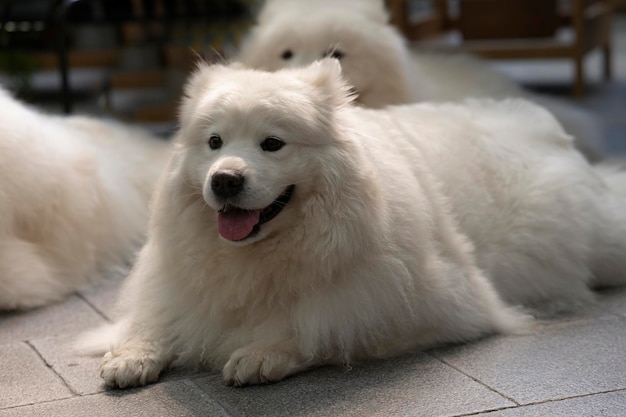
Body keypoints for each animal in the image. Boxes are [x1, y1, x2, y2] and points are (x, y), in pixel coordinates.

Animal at [84, 60, 626, 388]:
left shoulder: (420, 306)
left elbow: (319, 328)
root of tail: (543, 124)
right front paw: (133, 354)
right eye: (214, 143)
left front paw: (263, 352)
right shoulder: (178, 283)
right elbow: (157, 319)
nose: (225, 180)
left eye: (272, 144)